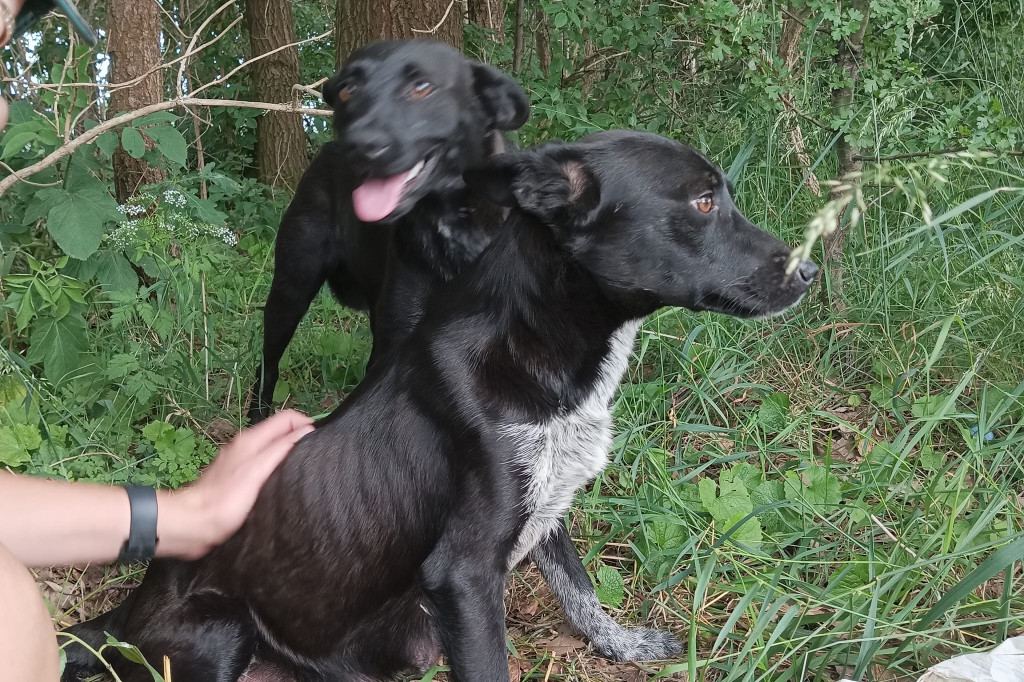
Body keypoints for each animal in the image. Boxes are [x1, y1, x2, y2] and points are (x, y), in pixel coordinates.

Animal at [61, 130, 815, 675]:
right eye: (702, 203)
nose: (811, 270)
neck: (537, 347)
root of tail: (122, 614)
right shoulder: (463, 572)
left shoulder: (544, 499)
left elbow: (580, 592)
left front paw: (624, 645)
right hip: (218, 630)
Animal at [249, 38, 528, 419]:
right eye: (348, 89)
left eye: (422, 87)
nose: (358, 146)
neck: (451, 222)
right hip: (291, 289)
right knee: (269, 363)